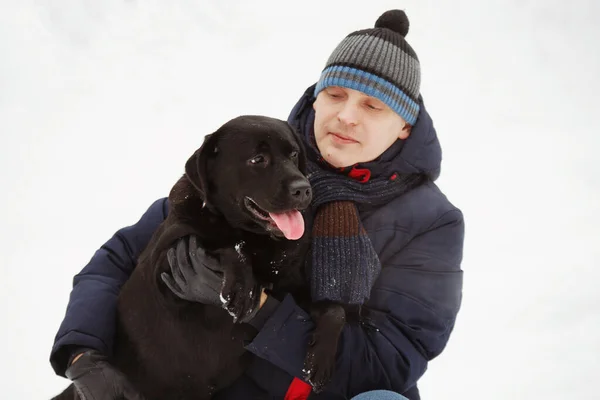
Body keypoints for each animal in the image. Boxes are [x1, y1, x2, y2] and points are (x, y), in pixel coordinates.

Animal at [54, 115, 314, 400]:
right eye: (258, 159)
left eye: (294, 154)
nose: (303, 190)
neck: (258, 238)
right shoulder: (164, 268)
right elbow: (224, 243)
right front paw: (242, 287)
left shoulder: (293, 280)